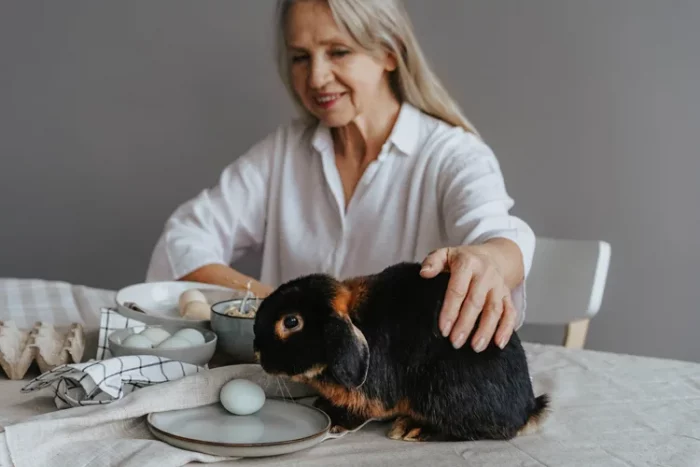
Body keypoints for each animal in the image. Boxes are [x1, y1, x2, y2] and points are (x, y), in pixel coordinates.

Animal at [254, 264, 548, 442]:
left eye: (291, 321)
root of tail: (527, 409)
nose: (256, 349)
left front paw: (336, 423)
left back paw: (412, 429)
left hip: (444, 391)